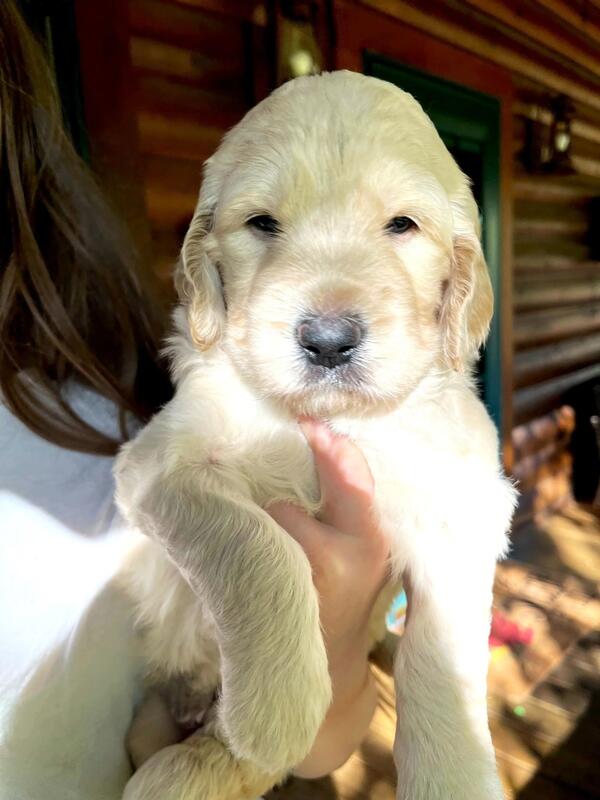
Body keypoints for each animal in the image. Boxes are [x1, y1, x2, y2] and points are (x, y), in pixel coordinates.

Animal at [115, 70, 516, 800]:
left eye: (402, 225)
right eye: (262, 224)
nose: (329, 341)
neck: (334, 417)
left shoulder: (468, 502)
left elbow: (441, 654)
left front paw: (453, 775)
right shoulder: (157, 464)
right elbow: (258, 546)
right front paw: (277, 709)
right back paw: (188, 760)